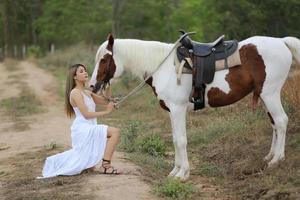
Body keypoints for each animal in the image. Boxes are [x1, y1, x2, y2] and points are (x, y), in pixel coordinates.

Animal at [88, 33, 300, 180]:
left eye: (104, 59)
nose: (91, 86)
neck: (164, 67)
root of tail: (282, 42)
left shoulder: (178, 109)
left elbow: (181, 141)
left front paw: (183, 174)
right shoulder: (172, 112)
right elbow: (175, 139)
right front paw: (175, 171)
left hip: (270, 93)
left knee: (281, 121)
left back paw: (276, 160)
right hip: (265, 96)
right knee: (274, 123)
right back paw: (269, 157)